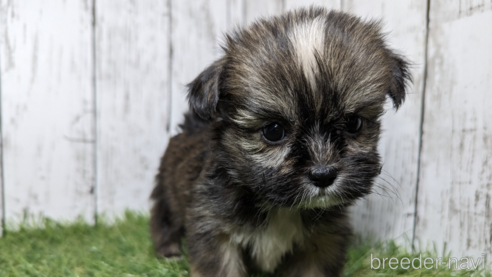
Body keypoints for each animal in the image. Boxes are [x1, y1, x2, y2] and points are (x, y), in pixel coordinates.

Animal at [150, 7, 412, 276]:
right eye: (274, 131)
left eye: (353, 123)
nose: (323, 175)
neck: (280, 207)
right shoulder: (214, 228)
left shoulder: (322, 240)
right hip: (167, 190)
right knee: (164, 218)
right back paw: (169, 252)